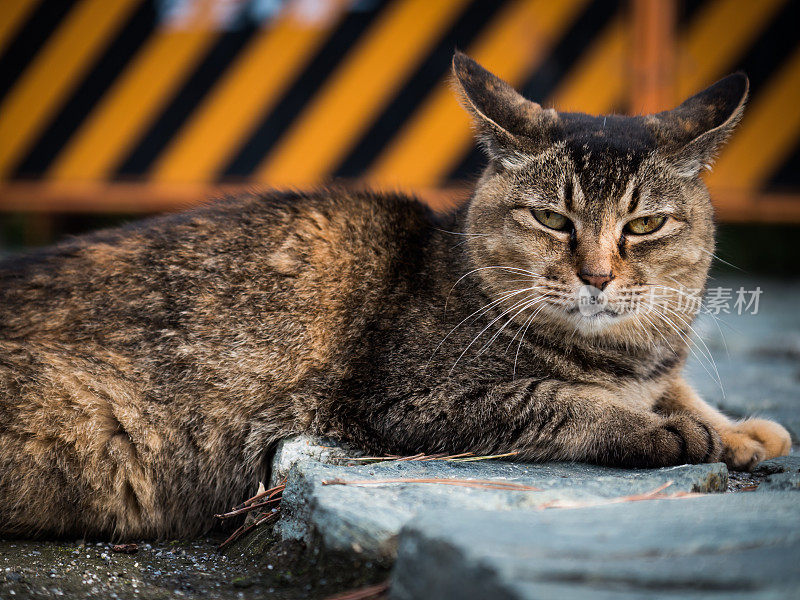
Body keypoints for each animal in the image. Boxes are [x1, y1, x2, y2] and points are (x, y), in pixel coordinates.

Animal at [0, 51, 792, 540]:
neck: (627, 355)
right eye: (552, 219)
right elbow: (564, 401)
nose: (596, 276)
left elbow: (686, 393)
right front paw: (669, 430)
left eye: (645, 225)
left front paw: (741, 428)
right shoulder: (411, 399)